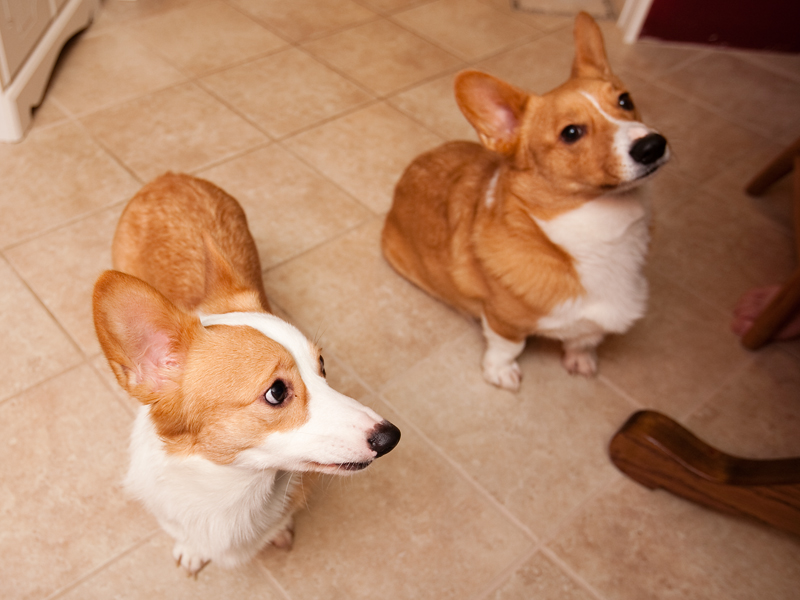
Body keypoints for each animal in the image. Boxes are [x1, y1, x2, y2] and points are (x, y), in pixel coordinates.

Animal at [94, 172, 404, 572]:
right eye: (276, 392)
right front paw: (192, 549)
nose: (390, 437)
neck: (237, 489)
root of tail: (171, 177)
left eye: (322, 366)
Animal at [382, 14, 668, 392]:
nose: (653, 145)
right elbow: (508, 345)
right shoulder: (504, 319)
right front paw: (501, 372)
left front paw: (580, 359)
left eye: (625, 100)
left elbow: (585, 338)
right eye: (571, 133)